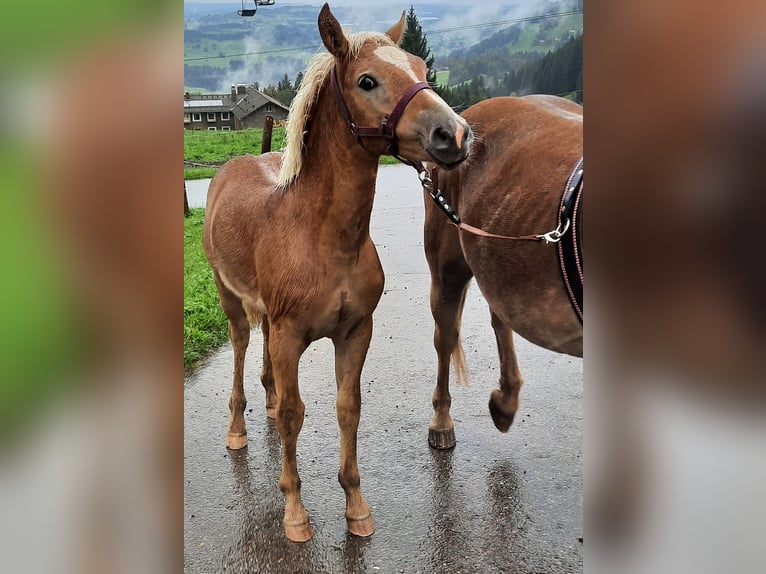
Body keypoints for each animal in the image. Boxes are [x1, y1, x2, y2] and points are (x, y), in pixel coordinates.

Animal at [202, 2, 474, 544]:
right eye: (367, 81)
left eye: (421, 68)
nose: (453, 135)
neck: (324, 239)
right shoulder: (290, 335)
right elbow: (294, 414)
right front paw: (294, 513)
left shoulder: (354, 332)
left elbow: (347, 408)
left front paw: (356, 508)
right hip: (230, 299)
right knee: (241, 349)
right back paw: (238, 430)